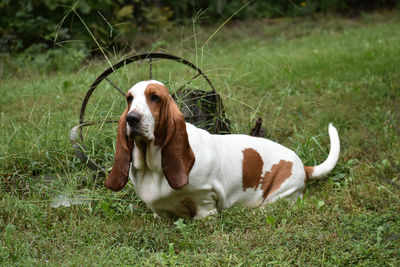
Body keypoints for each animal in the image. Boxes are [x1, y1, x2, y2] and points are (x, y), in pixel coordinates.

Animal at [104, 80, 340, 221]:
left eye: (155, 97)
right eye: (129, 98)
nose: (132, 118)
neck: (153, 165)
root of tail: (304, 166)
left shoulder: (205, 195)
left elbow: (204, 209)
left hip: (282, 193)